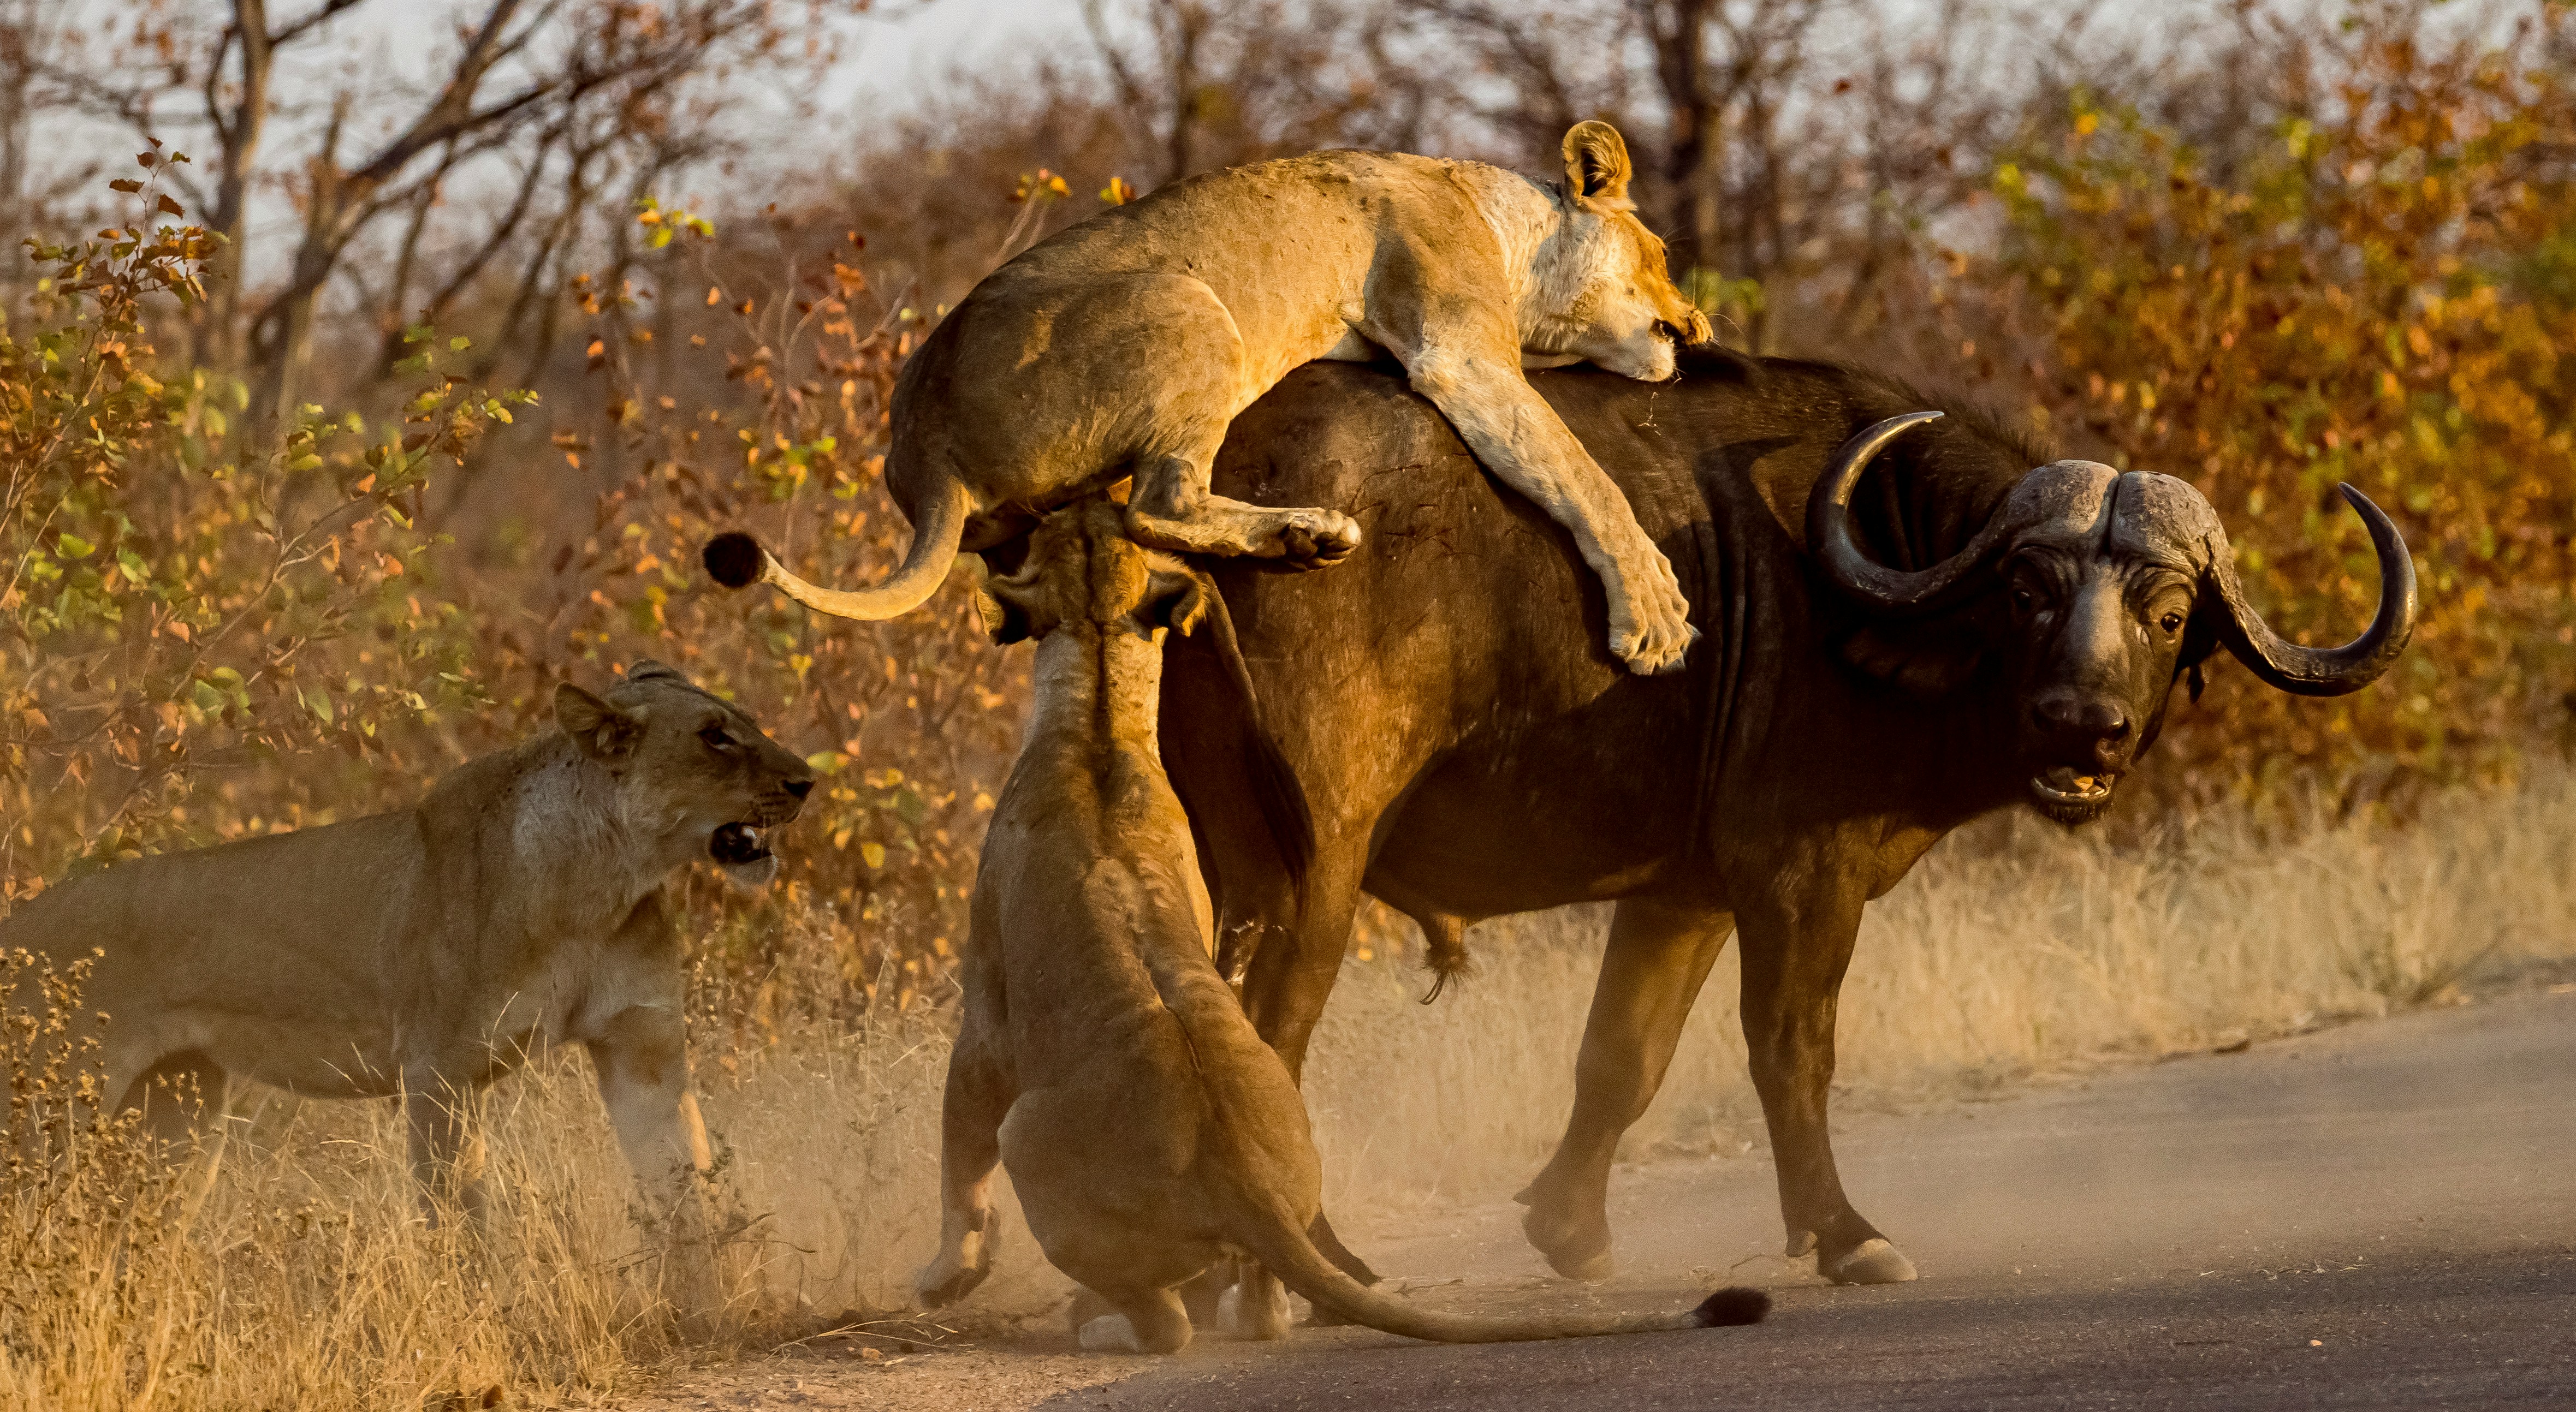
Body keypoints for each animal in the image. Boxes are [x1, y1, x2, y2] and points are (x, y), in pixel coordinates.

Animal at [0, 661, 811, 1295]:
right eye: (714, 735)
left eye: (744, 722)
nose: (807, 780)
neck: (603, 882)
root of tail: (19, 921)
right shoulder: (439, 1069)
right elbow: (460, 1218)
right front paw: (489, 1316)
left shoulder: (642, 1047)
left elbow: (685, 1183)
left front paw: (713, 1308)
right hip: (49, 1111)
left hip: (178, 1116)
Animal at [703, 121, 1709, 676]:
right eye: (1659, 253)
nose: (1696, 328)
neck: (1494, 214)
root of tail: (927, 456)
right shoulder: (1458, 355)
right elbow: (1584, 477)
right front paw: (1654, 613)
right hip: (1188, 299)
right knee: (1159, 504)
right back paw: (1309, 534)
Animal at [909, 499, 1767, 1353]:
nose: (1086, 503)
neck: (1098, 719)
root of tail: (1243, 1184)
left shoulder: (984, 1013)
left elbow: (958, 1149)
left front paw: (943, 1276)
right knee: (1261, 1303)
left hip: (1030, 1137)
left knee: (1165, 1323)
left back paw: (1106, 1330)